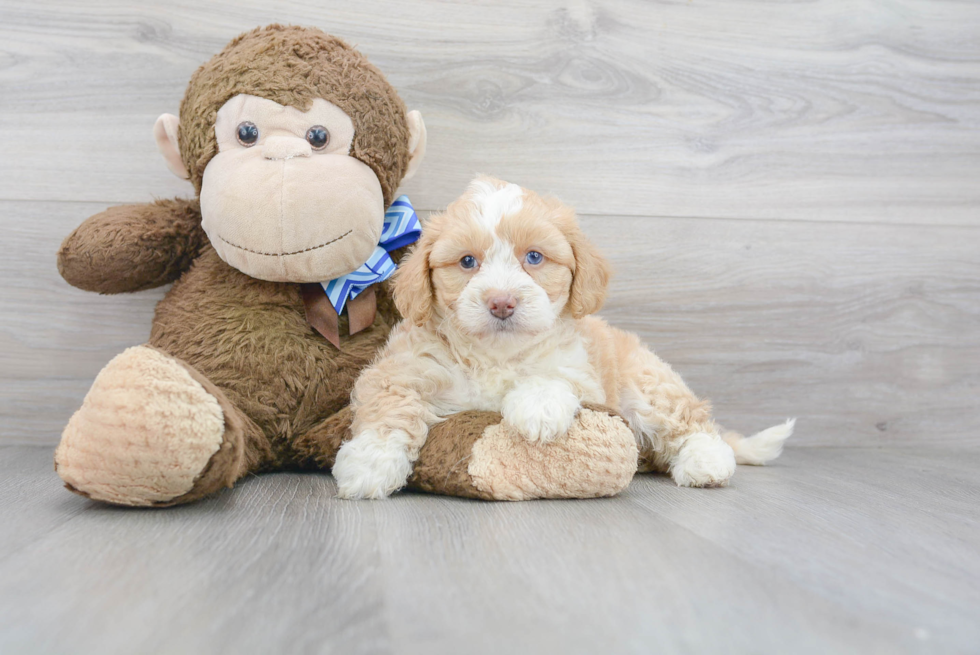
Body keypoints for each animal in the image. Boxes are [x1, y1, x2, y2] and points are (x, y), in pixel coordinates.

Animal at [334, 177, 792, 500]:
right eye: (467, 262)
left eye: (534, 257)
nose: (501, 303)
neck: (496, 355)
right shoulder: (404, 368)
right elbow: (388, 407)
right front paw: (370, 464)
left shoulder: (580, 370)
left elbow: (552, 377)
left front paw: (536, 408)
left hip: (647, 383)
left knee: (689, 419)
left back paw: (707, 460)